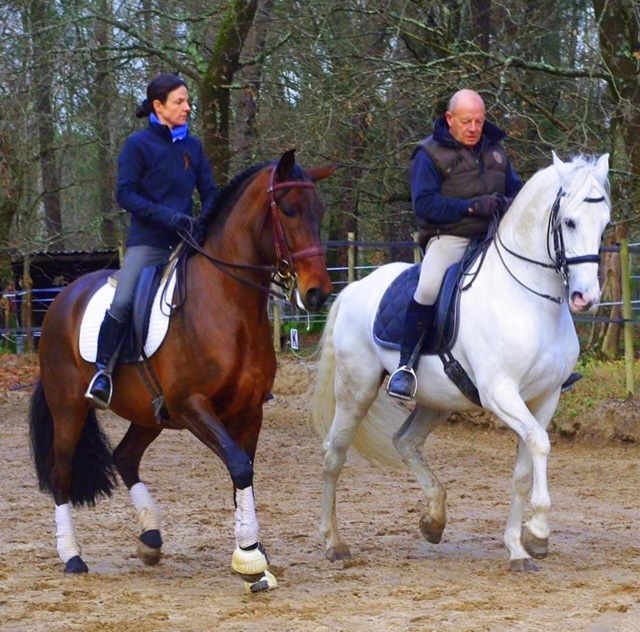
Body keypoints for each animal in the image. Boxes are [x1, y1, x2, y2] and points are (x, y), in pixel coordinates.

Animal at [30, 149, 338, 592]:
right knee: (62, 473)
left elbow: (242, 474)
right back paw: (72, 556)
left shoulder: (249, 410)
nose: (317, 293)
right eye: (290, 209)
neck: (228, 304)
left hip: (149, 414)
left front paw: (252, 551)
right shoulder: (193, 406)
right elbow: (239, 466)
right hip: (69, 407)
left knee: (125, 457)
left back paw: (150, 539)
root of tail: (61, 299)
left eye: (320, 211)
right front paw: (250, 557)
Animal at [310, 154, 608, 572]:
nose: (586, 297)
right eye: (569, 222)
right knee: (334, 453)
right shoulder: (501, 393)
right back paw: (334, 543)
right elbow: (540, 443)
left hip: (437, 400)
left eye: (604, 223)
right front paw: (538, 532)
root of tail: (354, 287)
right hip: (357, 388)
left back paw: (433, 519)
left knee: (404, 441)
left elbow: (524, 466)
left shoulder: (545, 397)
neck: (530, 298)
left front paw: (519, 546)